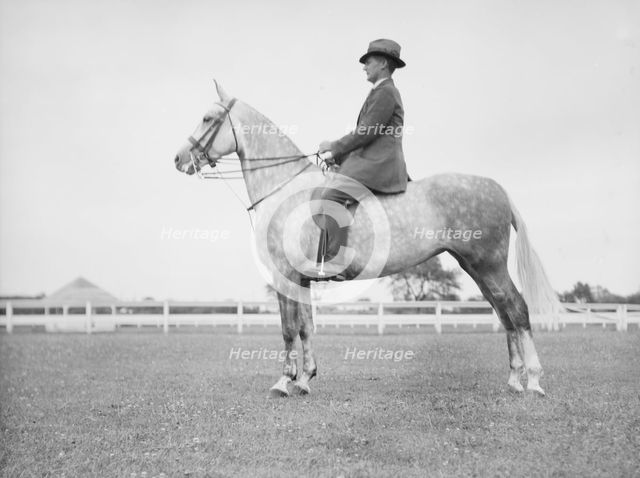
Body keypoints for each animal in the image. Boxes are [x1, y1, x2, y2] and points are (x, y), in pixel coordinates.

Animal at [174, 80, 562, 398]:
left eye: (208, 119)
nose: (178, 158)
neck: (285, 187)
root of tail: (497, 188)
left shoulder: (285, 274)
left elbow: (288, 329)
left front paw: (285, 382)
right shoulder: (303, 278)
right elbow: (306, 328)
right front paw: (305, 379)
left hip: (489, 265)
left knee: (517, 310)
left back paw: (533, 381)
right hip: (476, 268)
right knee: (504, 313)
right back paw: (513, 380)